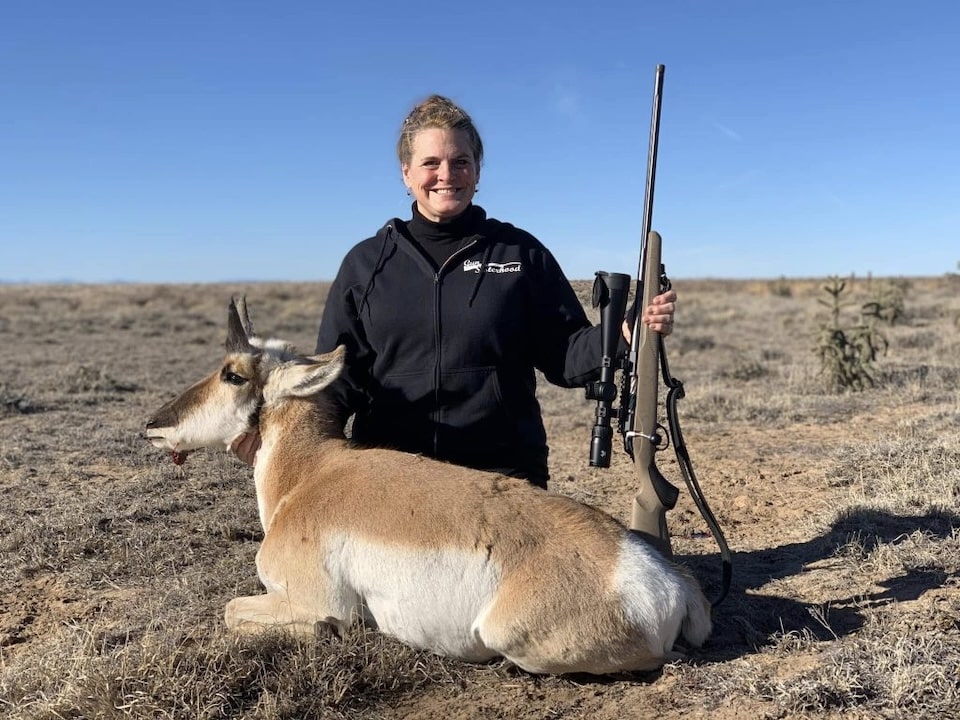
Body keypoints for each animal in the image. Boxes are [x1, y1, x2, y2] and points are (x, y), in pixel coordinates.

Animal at [144, 298, 711, 675]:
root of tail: (668, 580)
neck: (309, 476)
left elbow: (233, 610)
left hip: (509, 635)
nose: (152, 423)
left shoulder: (307, 600)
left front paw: (329, 632)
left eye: (232, 374)